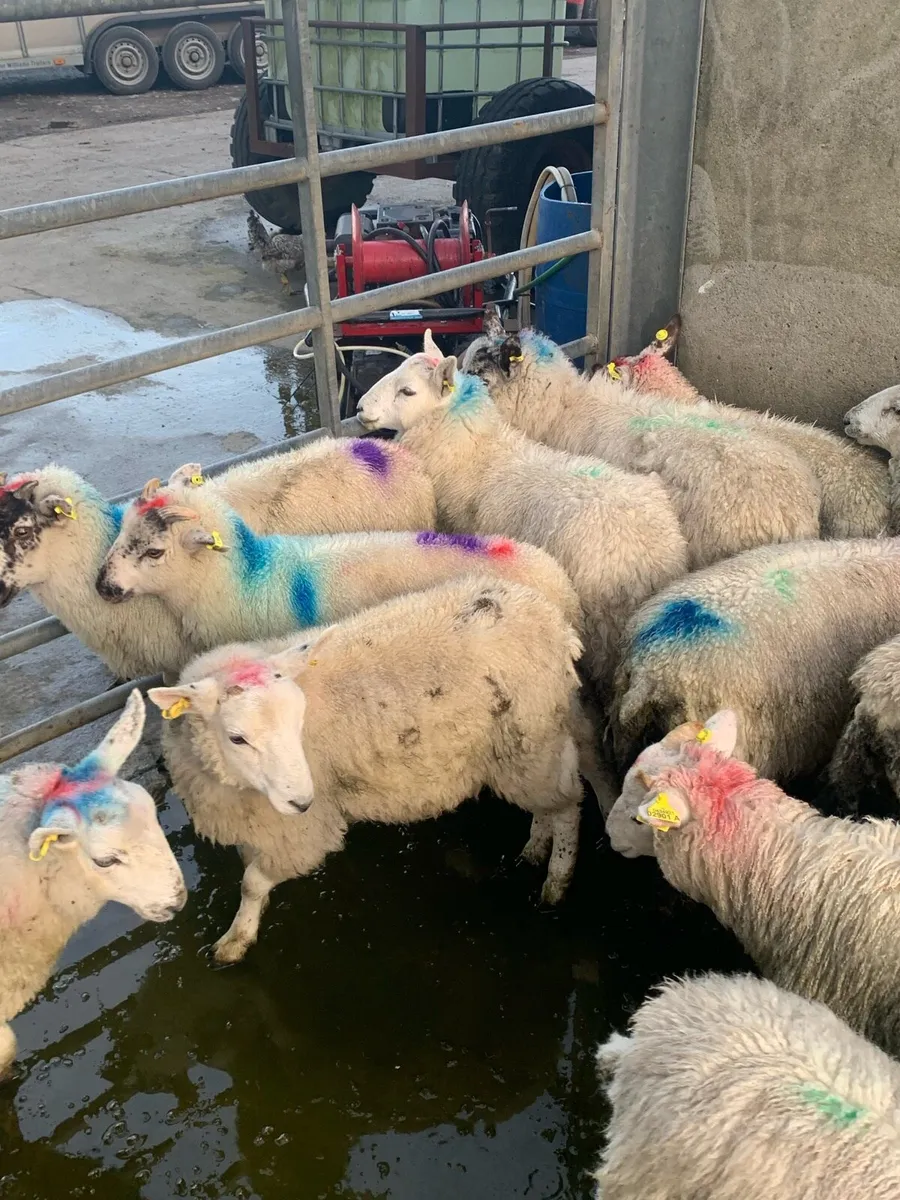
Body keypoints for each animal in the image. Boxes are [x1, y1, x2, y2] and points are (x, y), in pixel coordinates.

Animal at [148, 577, 591, 963]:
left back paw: (556, 881)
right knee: (550, 803)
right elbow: (250, 870)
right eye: (237, 738)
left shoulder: (301, 830)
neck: (232, 784)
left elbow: (253, 883)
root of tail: (552, 620)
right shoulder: (258, 821)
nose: (302, 801)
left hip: (529, 742)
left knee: (568, 805)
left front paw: (235, 940)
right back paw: (535, 848)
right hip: (531, 749)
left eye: (299, 719)